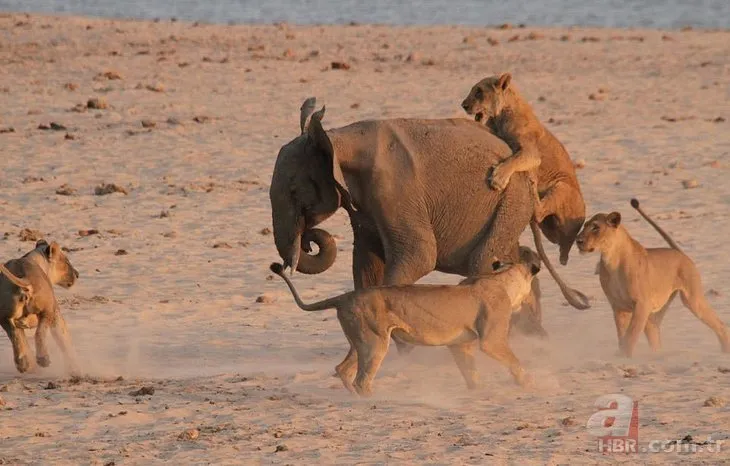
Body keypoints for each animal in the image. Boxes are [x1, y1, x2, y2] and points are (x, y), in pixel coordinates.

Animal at [0, 240, 79, 374]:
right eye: (67, 262)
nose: (77, 274)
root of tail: (25, 279)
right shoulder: (56, 314)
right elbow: (64, 340)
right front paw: (74, 369)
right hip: (47, 311)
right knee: (39, 333)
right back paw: (43, 359)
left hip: (5, 317)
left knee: (16, 337)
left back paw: (24, 364)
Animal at [270, 258, 536, 396]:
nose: (532, 302)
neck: (500, 278)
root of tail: (344, 297)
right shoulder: (491, 340)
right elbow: (513, 360)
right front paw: (526, 383)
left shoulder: (460, 344)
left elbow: (470, 370)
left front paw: (477, 390)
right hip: (375, 343)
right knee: (361, 380)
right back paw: (373, 401)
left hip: (361, 342)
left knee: (343, 369)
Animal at [576, 199, 728, 356]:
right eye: (584, 226)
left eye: (596, 227)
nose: (578, 240)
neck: (611, 259)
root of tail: (680, 253)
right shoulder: (618, 307)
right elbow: (622, 336)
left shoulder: (642, 304)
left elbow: (631, 335)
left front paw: (624, 356)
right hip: (654, 316)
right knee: (655, 335)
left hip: (692, 299)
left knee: (720, 325)